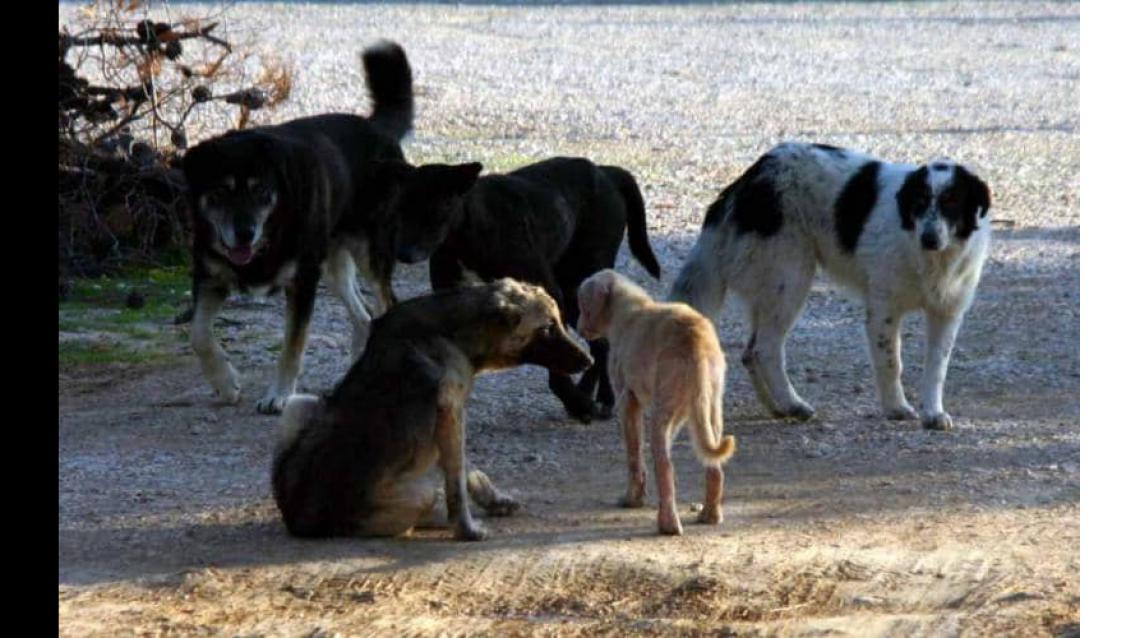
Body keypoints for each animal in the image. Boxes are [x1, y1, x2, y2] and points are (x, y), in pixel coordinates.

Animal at [184, 42, 417, 416]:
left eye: (261, 191)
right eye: (220, 192)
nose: (244, 233)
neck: (269, 235)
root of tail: (375, 128)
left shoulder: (303, 281)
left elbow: (293, 346)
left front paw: (279, 395)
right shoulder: (209, 275)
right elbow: (199, 334)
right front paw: (225, 382)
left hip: (369, 252)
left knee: (385, 305)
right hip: (333, 265)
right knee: (364, 318)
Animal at [385, 156, 661, 421]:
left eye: (440, 207)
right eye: (399, 208)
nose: (404, 253)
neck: (470, 230)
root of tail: (606, 171)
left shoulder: (550, 296)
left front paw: (577, 402)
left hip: (581, 280)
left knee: (602, 342)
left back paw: (603, 398)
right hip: (573, 294)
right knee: (598, 342)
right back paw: (587, 391)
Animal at [574, 266, 734, 535]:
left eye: (582, 304)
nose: (577, 327)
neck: (627, 309)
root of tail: (696, 343)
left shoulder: (627, 401)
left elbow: (634, 454)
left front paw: (633, 499)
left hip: (662, 412)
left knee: (665, 465)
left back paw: (668, 524)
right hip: (710, 408)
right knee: (713, 466)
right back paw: (710, 515)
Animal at [670, 141, 994, 430]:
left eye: (952, 202)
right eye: (920, 202)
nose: (929, 238)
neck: (931, 258)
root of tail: (752, 176)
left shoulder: (946, 313)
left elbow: (937, 368)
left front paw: (933, 414)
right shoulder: (884, 310)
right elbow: (891, 362)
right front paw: (896, 408)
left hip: (771, 287)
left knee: (750, 353)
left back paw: (777, 407)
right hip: (790, 278)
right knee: (765, 348)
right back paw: (792, 403)